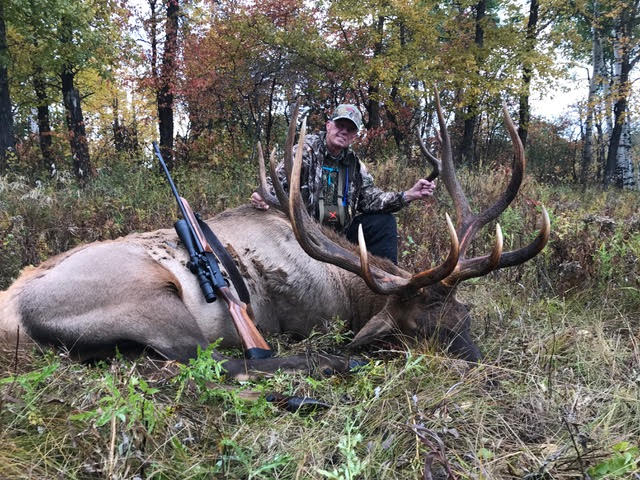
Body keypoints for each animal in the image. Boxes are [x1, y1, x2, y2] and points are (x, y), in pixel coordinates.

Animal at [0, 91, 549, 379]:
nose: (486, 369)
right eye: (424, 329)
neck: (349, 290)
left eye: (466, 317)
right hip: (156, 303)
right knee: (215, 361)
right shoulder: (310, 318)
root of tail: (14, 319)